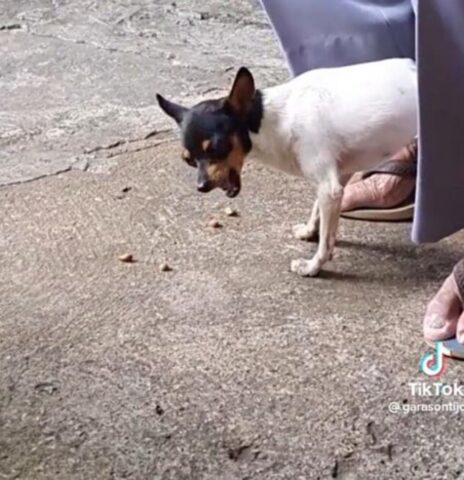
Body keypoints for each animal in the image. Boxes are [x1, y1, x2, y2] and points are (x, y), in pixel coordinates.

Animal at [158, 59, 418, 278]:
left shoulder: (329, 187)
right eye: (189, 160)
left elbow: (325, 242)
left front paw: (313, 267)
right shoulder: (336, 177)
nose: (201, 186)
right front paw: (310, 231)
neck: (275, 119)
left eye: (216, 147)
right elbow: (319, 213)